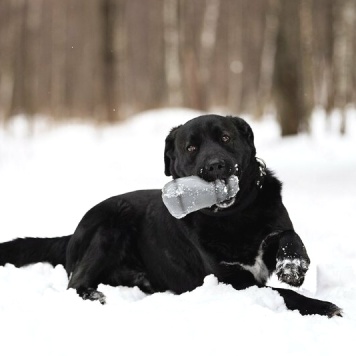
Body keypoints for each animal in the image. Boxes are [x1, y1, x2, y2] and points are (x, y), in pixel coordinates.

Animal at [0, 114, 342, 318]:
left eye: (226, 138)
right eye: (191, 148)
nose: (215, 165)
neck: (233, 217)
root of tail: (71, 234)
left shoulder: (272, 230)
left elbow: (288, 235)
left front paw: (293, 266)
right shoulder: (232, 281)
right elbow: (284, 295)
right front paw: (324, 306)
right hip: (111, 224)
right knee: (75, 284)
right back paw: (96, 296)